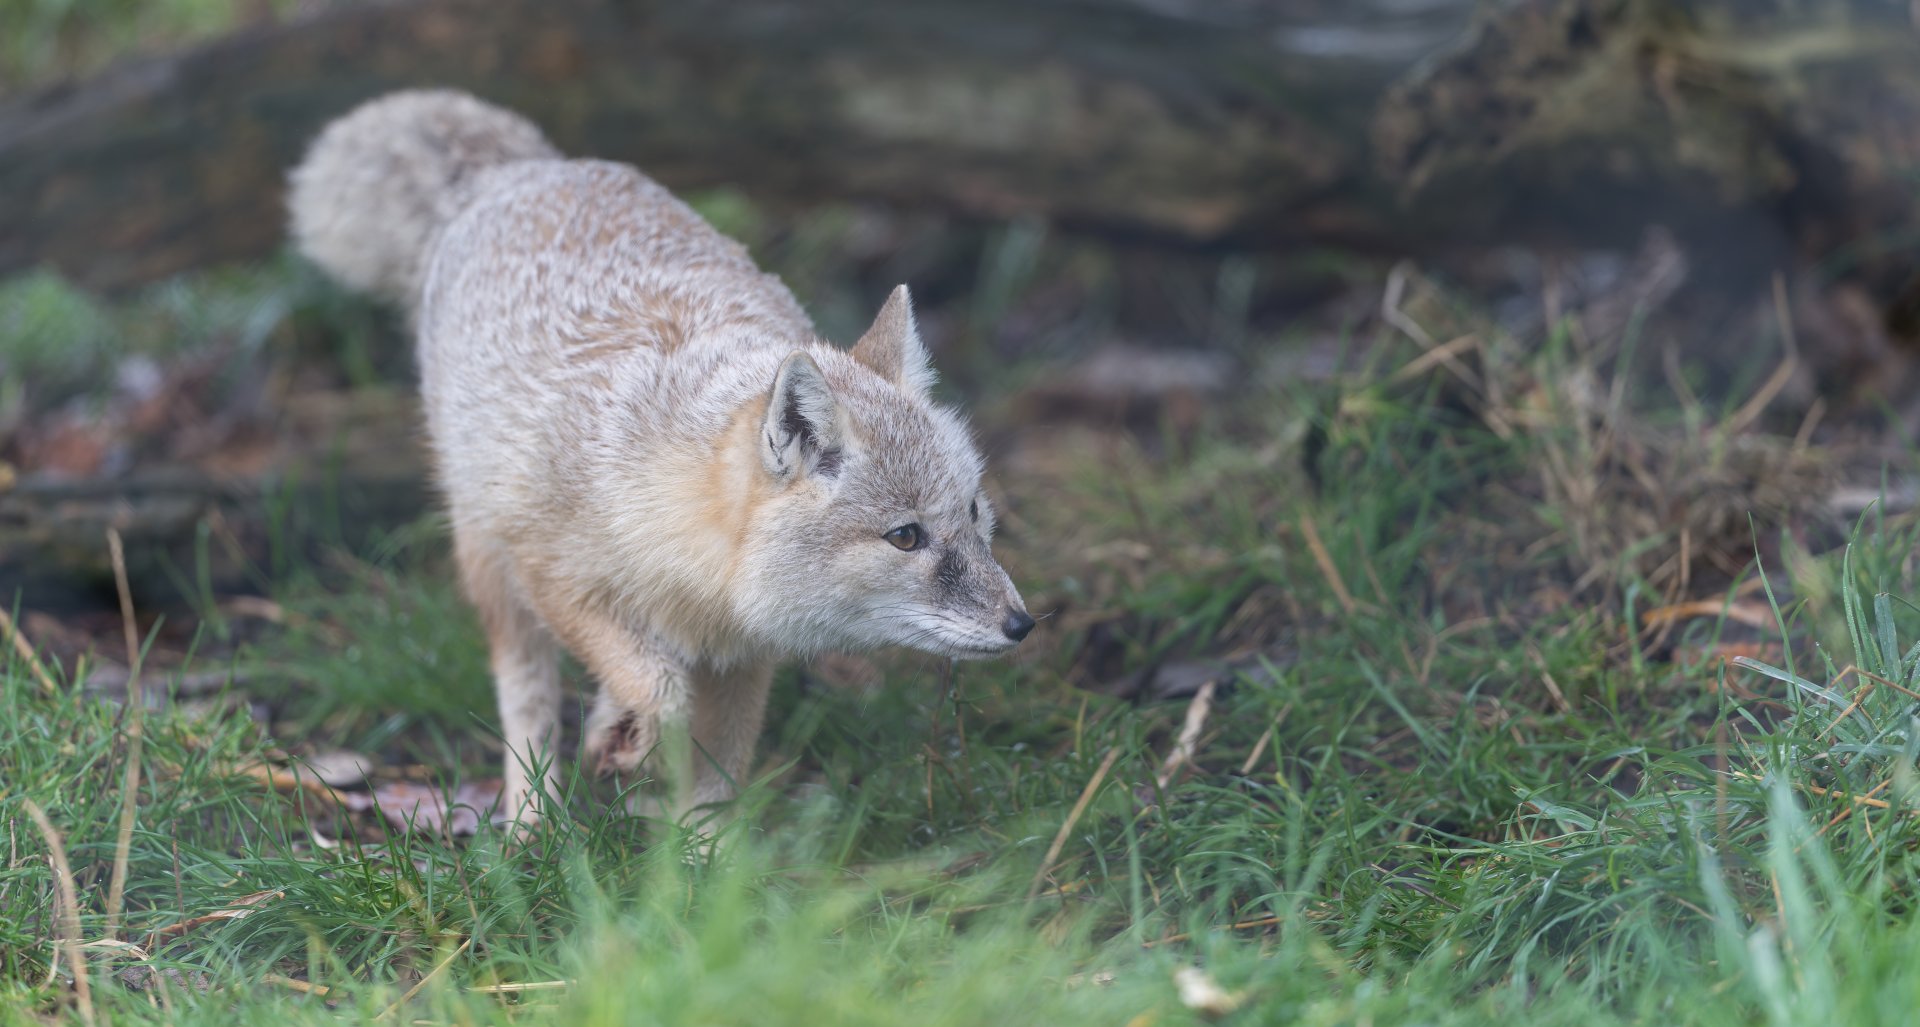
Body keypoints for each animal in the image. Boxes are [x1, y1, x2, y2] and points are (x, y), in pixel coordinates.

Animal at [286, 90, 1033, 826]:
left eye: (974, 512)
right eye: (905, 536)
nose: (1022, 624)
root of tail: (525, 170)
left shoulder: (743, 654)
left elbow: (717, 777)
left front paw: (703, 852)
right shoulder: (554, 578)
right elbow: (659, 687)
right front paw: (626, 742)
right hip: (489, 562)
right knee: (527, 699)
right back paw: (531, 821)